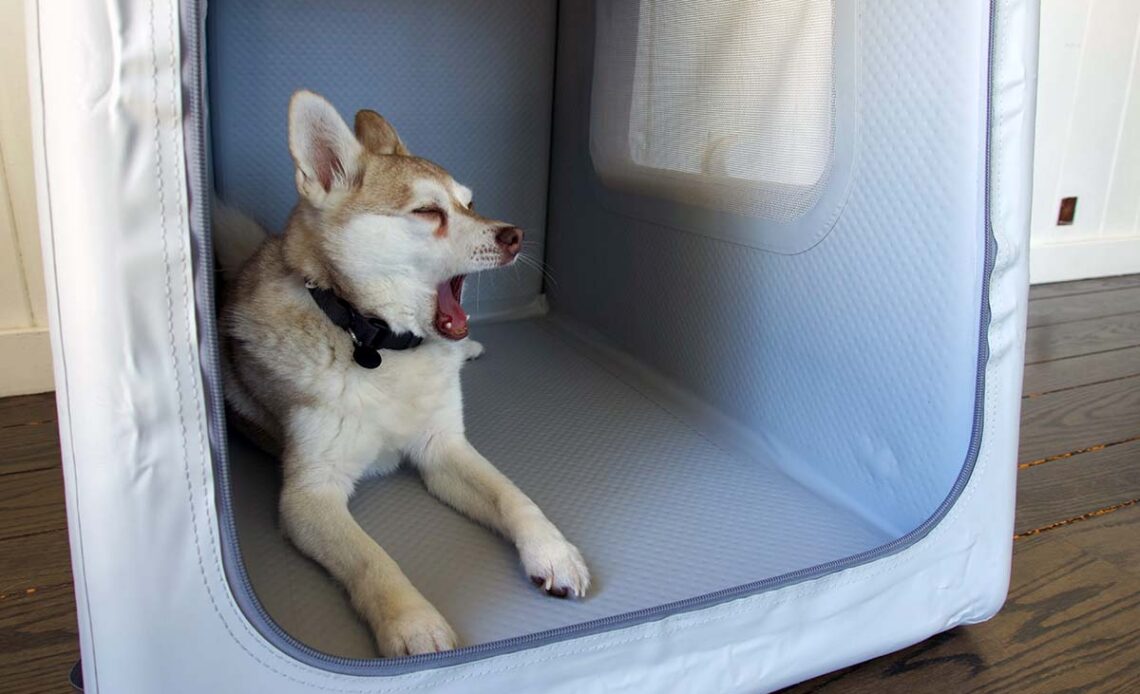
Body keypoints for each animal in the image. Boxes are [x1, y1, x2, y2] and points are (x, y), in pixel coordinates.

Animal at [214, 90, 592, 656]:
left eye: (469, 204)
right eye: (428, 212)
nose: (515, 235)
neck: (382, 348)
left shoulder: (442, 447)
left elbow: (512, 496)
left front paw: (551, 549)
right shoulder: (310, 497)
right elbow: (373, 559)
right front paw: (412, 623)